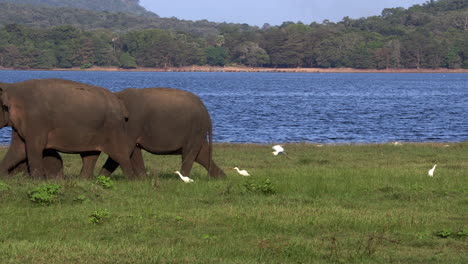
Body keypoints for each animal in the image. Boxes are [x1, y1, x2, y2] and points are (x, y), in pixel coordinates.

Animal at [0, 77, 135, 178]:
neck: (11, 88)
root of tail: (119, 102)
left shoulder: (35, 120)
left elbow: (34, 147)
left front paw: (37, 181)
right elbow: (18, 149)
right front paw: (3, 177)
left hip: (113, 127)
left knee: (120, 154)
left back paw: (131, 181)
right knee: (90, 155)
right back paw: (84, 180)